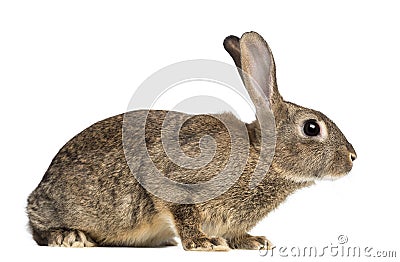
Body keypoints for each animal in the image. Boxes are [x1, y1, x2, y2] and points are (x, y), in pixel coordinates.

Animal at [25, 31, 356, 251]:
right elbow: (183, 213)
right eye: (311, 128)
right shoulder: (178, 185)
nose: (353, 157)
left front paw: (254, 242)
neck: (260, 156)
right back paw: (70, 237)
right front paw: (203, 243)